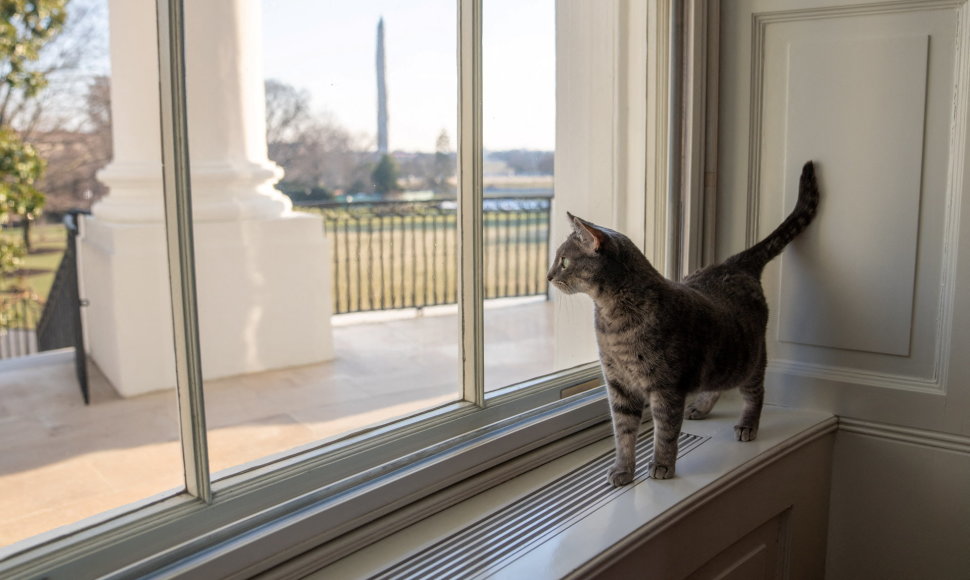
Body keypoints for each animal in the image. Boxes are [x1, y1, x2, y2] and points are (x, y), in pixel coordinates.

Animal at [548, 161, 812, 482]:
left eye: (563, 261)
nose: (548, 276)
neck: (612, 319)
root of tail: (735, 263)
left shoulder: (666, 386)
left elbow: (665, 431)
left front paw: (662, 465)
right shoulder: (618, 383)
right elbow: (623, 432)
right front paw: (623, 469)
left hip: (749, 360)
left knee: (756, 392)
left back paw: (748, 424)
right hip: (723, 365)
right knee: (717, 385)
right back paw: (701, 407)